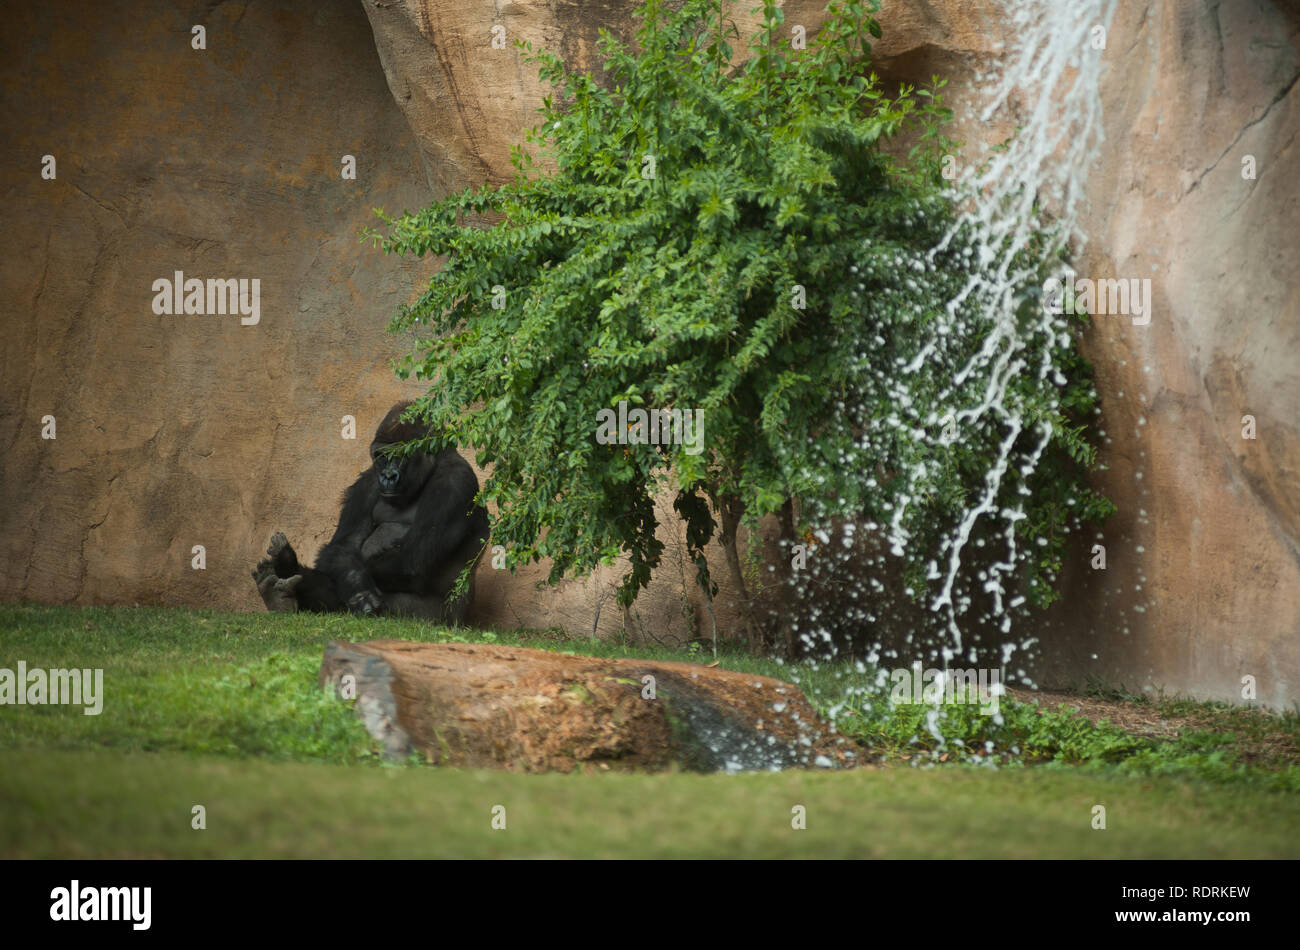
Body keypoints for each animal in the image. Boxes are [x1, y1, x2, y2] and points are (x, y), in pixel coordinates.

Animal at [253, 400, 491, 623]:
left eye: (400, 456)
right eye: (382, 456)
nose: (388, 476)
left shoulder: (455, 482)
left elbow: (411, 560)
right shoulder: (367, 482)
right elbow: (343, 547)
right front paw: (355, 582)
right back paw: (279, 580)